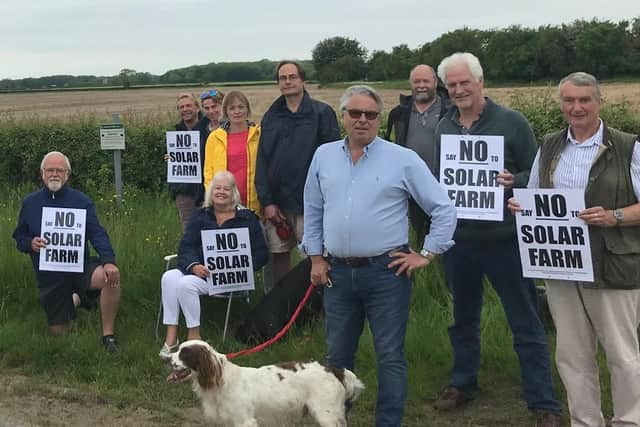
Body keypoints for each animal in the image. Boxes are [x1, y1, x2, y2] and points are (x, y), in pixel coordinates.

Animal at [165, 342, 364, 427]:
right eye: (177, 349)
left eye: (184, 353)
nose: (165, 358)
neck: (220, 382)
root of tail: (334, 369)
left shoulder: (245, 421)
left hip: (327, 415)